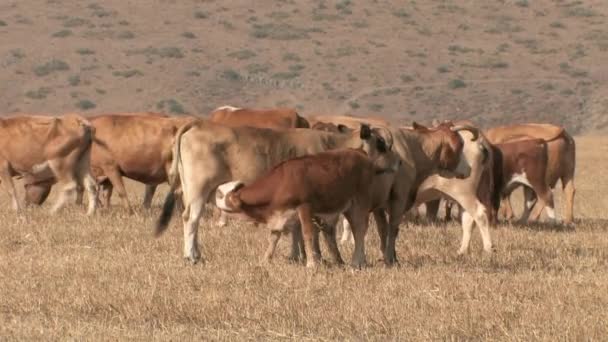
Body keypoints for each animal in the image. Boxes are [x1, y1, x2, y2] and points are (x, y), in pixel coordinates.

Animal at [22, 113, 195, 212]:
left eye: (25, 185)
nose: (26, 205)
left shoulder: (110, 167)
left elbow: (119, 190)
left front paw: (128, 211)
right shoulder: (100, 174)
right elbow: (103, 193)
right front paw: (102, 208)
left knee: (178, 191)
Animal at [151, 121, 390, 264]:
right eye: (381, 143)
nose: (393, 164)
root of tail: (198, 124)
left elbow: (296, 230)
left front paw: (297, 256)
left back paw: (197, 253)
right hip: (198, 190)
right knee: (191, 219)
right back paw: (191, 256)